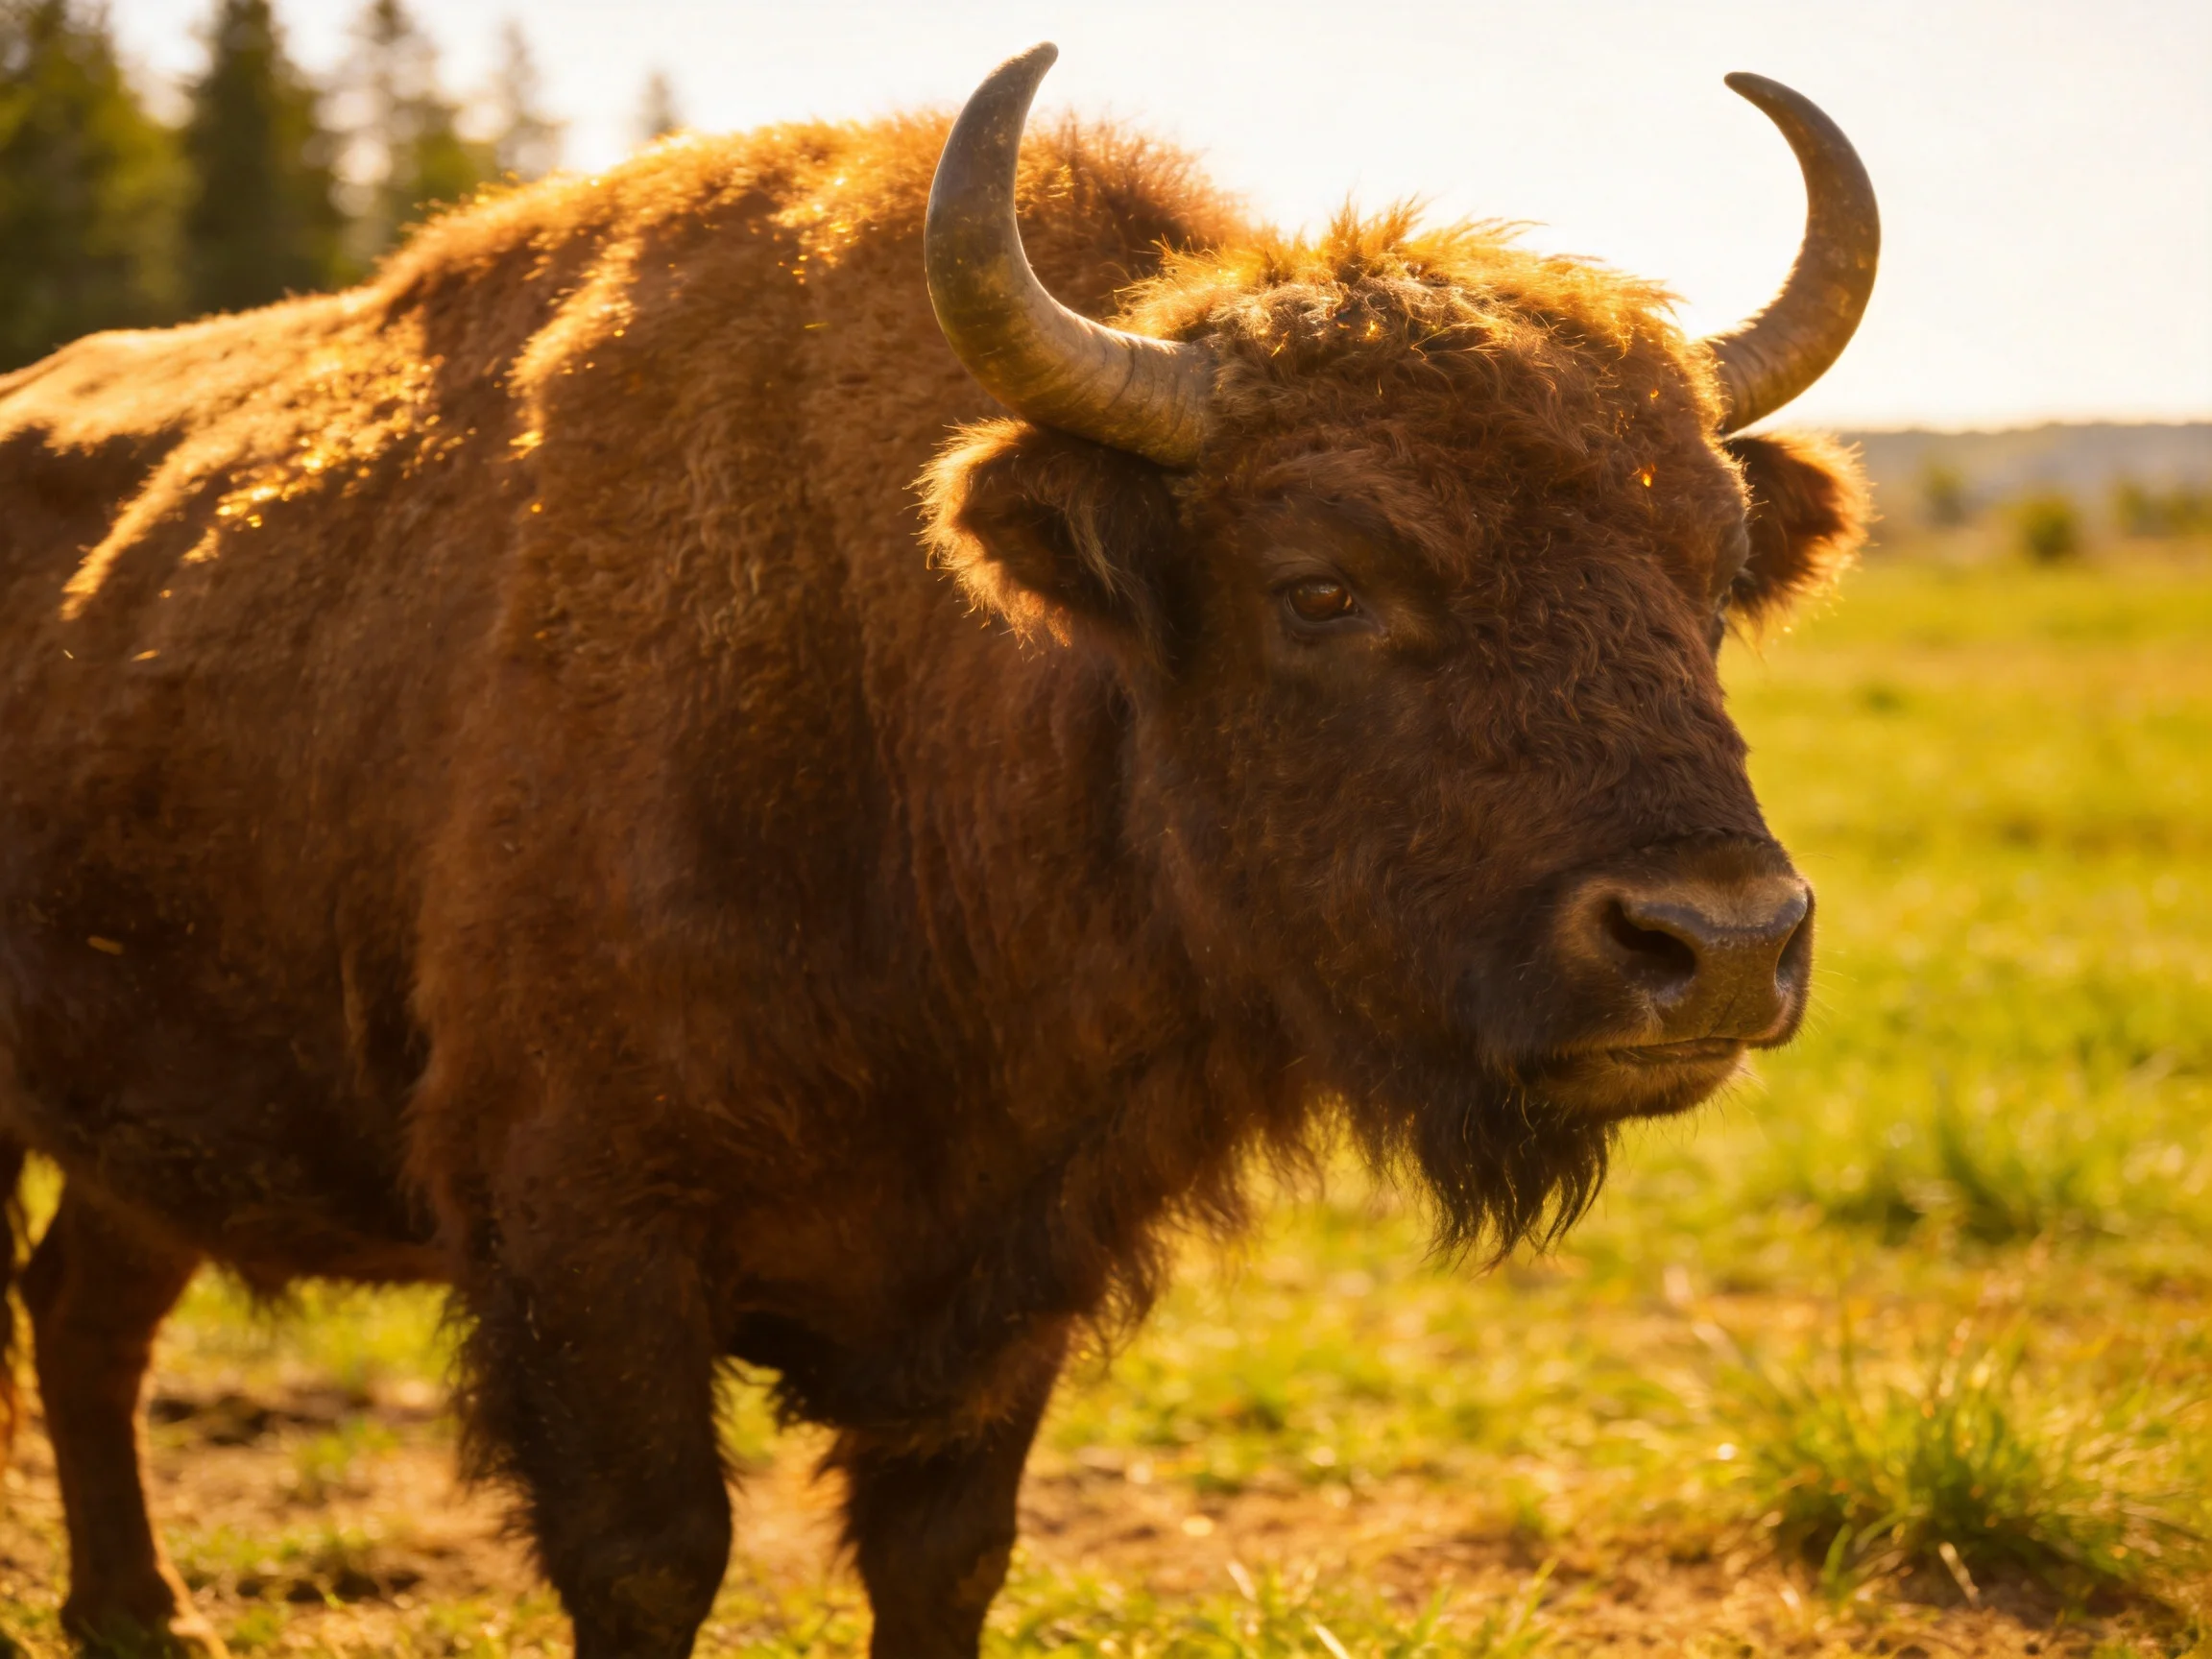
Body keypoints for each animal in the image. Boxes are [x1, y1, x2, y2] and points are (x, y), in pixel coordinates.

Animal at [0, 43, 1876, 1659]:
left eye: (1714, 571)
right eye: (1321, 584)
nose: (1716, 940)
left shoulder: (1005, 1283)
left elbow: (942, 1557)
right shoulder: (581, 1236)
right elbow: (651, 1556)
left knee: (88, 1307)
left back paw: (139, 1612)